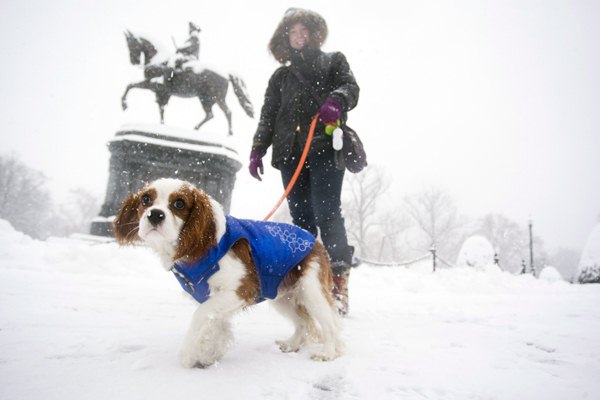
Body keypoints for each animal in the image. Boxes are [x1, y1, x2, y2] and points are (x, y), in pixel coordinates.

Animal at [112, 179, 342, 368]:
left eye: (179, 204)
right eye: (145, 199)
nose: (155, 215)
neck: (197, 247)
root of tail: (316, 241)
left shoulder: (242, 289)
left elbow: (201, 314)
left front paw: (189, 355)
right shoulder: (218, 299)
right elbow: (216, 323)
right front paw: (208, 355)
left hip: (311, 290)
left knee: (330, 324)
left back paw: (328, 353)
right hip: (281, 296)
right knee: (303, 322)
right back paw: (292, 344)